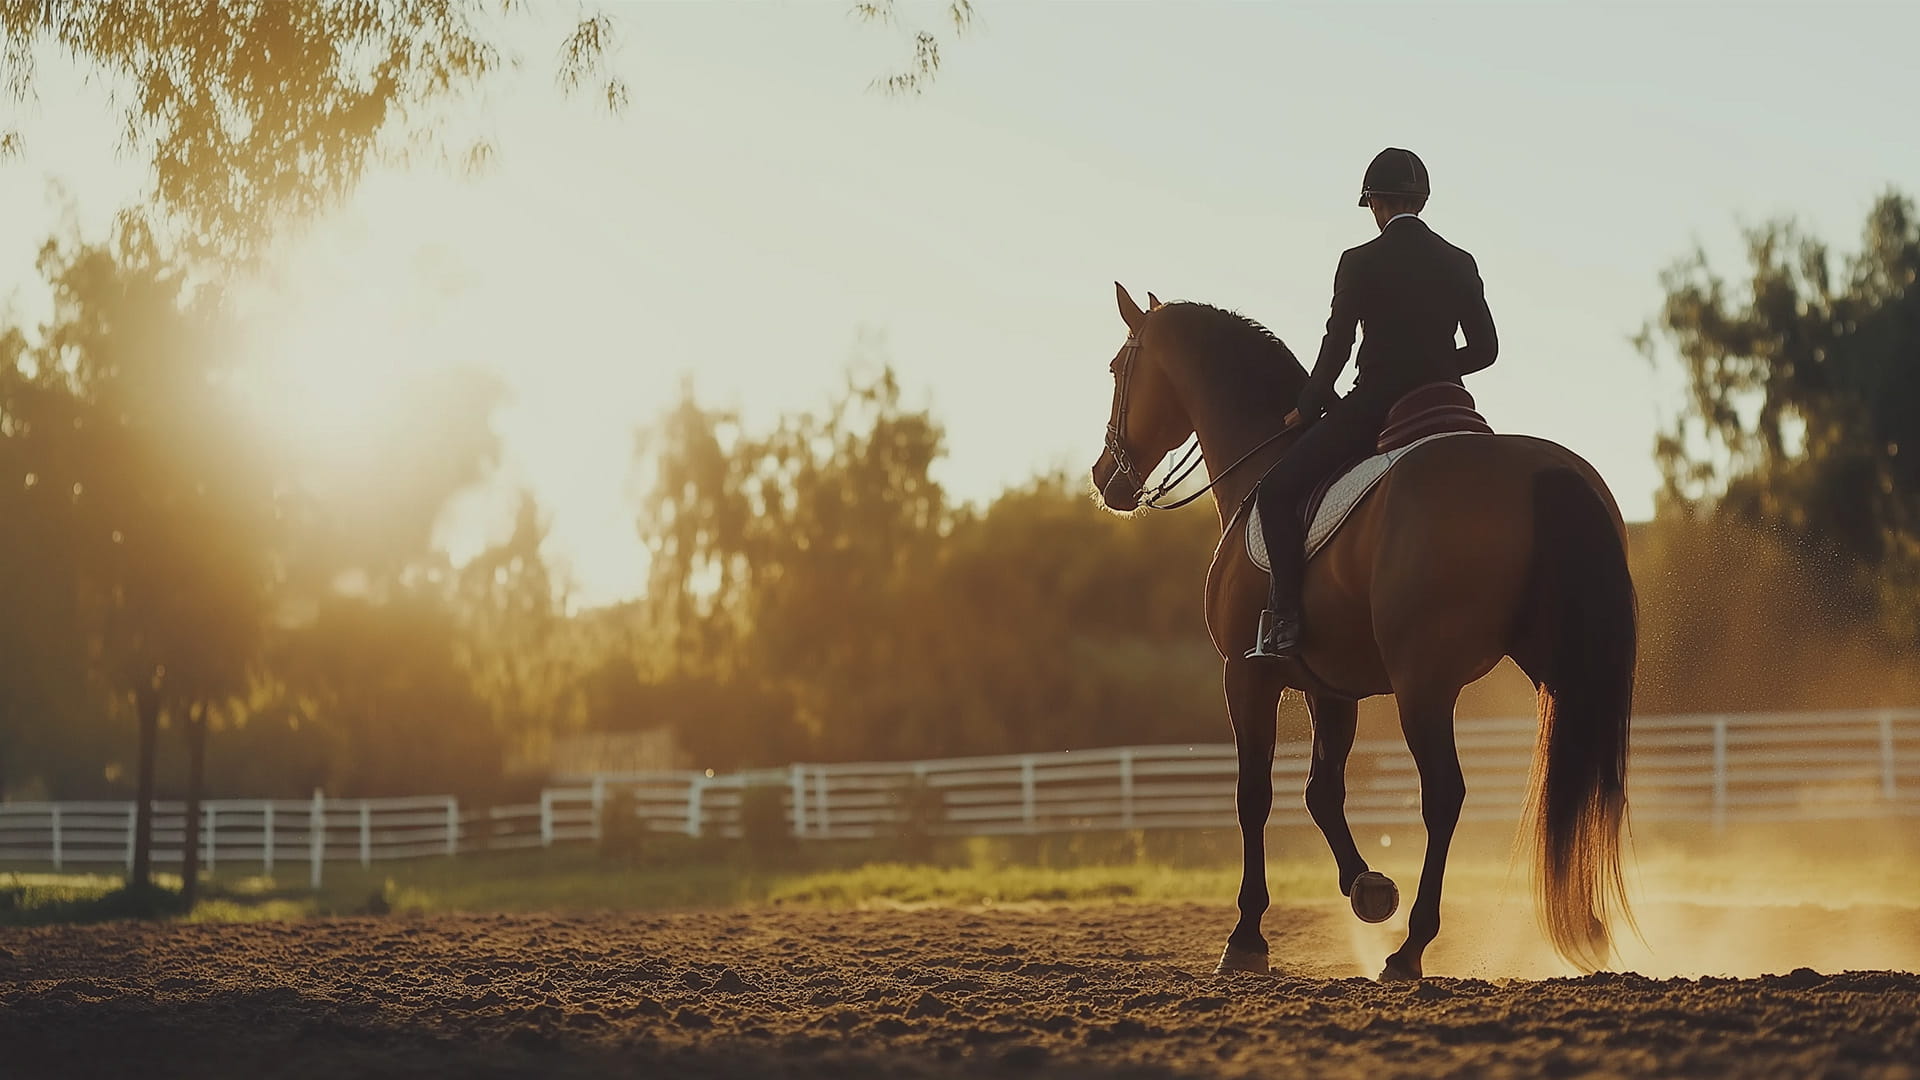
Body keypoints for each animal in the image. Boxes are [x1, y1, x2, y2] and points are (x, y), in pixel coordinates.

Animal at [1090, 284, 1628, 976]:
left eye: (1115, 369)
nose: (1104, 478)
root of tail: (1539, 472)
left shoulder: (1247, 677)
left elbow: (1254, 794)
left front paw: (1247, 937)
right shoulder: (1331, 687)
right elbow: (1322, 791)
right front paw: (1368, 889)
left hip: (1425, 684)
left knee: (1444, 796)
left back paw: (1411, 950)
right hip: (1563, 669)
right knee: (1593, 785)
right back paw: (1589, 930)